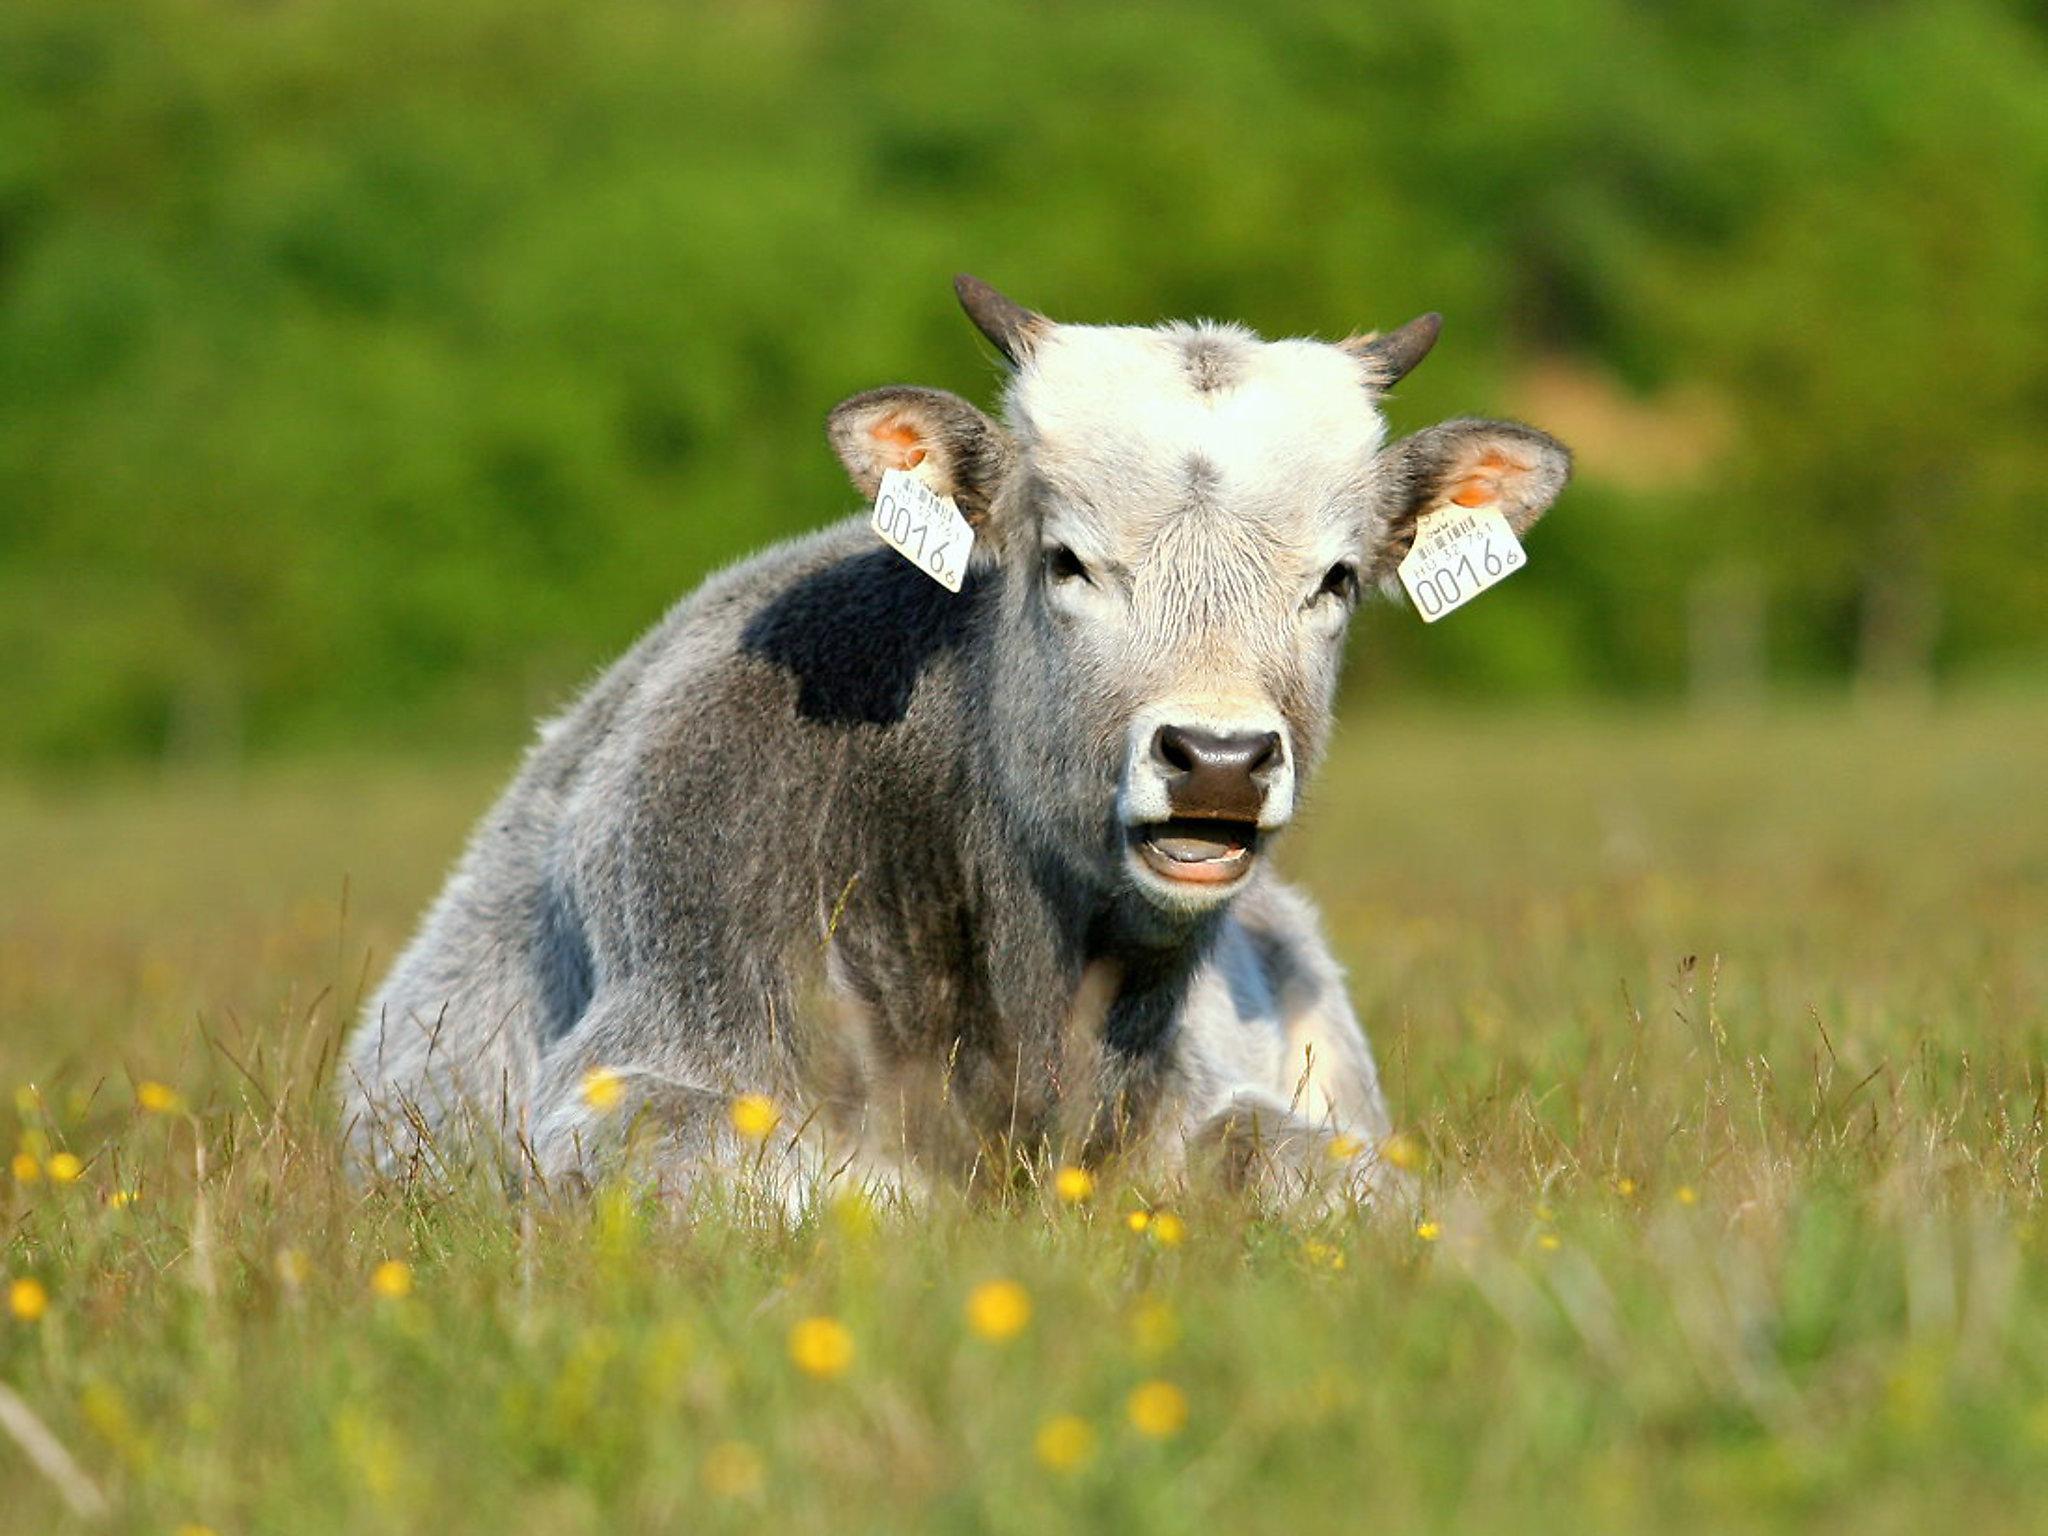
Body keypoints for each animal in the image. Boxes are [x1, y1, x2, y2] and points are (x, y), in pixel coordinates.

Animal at [344, 282, 1572, 1212]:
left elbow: (1331, 1180)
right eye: (1065, 560)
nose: (1218, 759)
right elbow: (817, 1188)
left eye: (1336, 581)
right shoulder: (632, 1078)